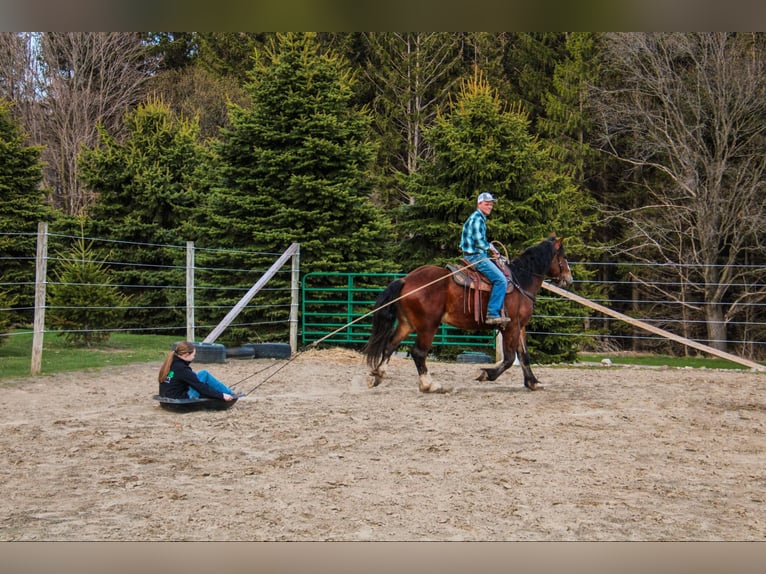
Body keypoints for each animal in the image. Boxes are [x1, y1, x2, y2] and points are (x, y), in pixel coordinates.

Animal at [363, 233, 573, 393]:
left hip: (407, 323)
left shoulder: (520, 326)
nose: (569, 279)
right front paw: (486, 374)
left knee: (390, 345)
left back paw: (378, 376)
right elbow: (509, 358)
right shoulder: (511, 326)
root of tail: (406, 280)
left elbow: (524, 355)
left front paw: (533, 382)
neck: (521, 280)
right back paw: (430, 385)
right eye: (563, 256)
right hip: (428, 326)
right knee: (418, 353)